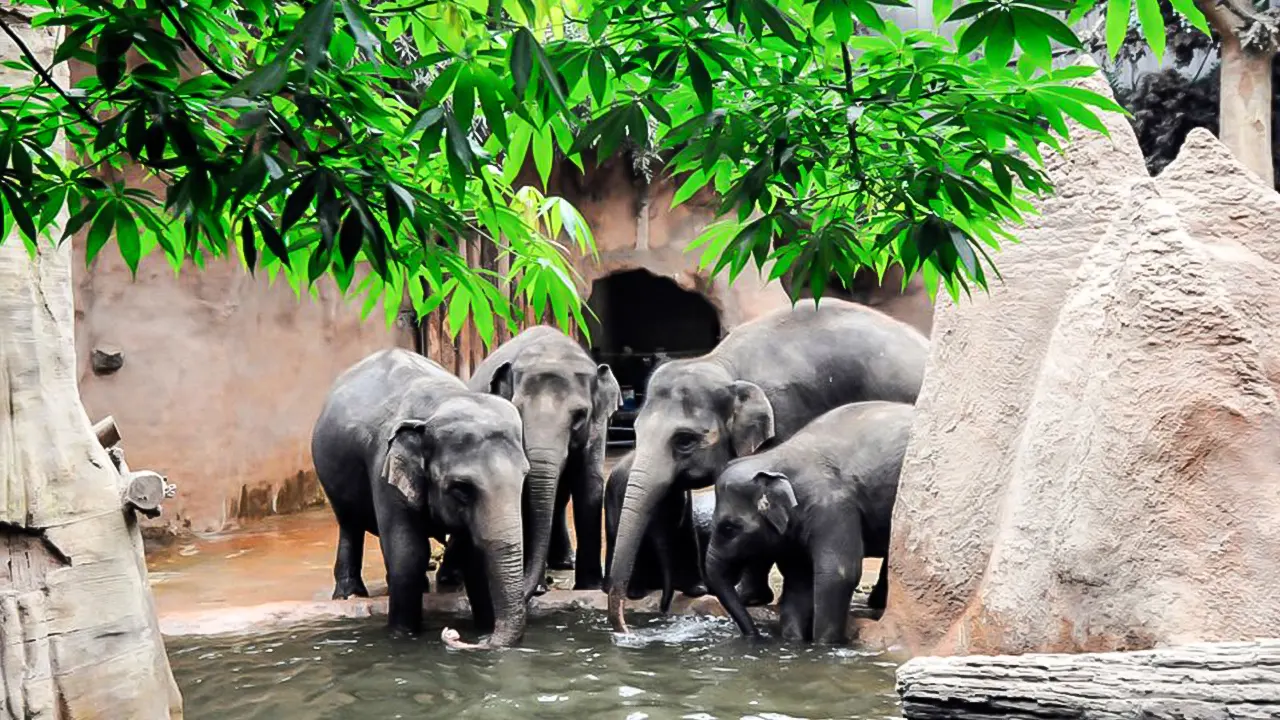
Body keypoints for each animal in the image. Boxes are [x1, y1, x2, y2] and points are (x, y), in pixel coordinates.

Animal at [311, 348, 529, 645]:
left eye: (525, 475)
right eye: (461, 487)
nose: (474, 639)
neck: (441, 403)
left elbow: (473, 553)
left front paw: (484, 627)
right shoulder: (384, 468)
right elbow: (408, 554)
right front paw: (403, 636)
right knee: (349, 526)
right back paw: (349, 595)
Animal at [437, 325, 622, 594]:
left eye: (580, 415)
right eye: (518, 410)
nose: (534, 589)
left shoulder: (598, 425)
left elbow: (589, 483)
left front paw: (589, 587)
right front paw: (539, 588)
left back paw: (564, 563)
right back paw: (450, 578)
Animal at [701, 399, 911, 640]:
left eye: (730, 528)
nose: (756, 635)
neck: (776, 458)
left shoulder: (833, 508)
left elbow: (838, 574)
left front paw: (823, 644)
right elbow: (798, 580)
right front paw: (794, 641)